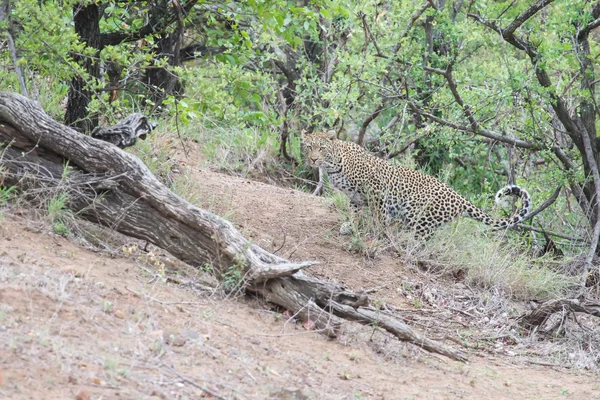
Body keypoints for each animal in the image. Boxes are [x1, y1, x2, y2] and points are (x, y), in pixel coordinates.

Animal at [302, 131, 532, 238]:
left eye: (321, 148)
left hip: (420, 214)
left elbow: (379, 216)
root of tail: (458, 197)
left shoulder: (376, 189)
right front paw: (350, 226)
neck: (334, 165)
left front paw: (377, 231)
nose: (313, 159)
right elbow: (354, 211)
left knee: (421, 238)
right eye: (308, 147)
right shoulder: (356, 197)